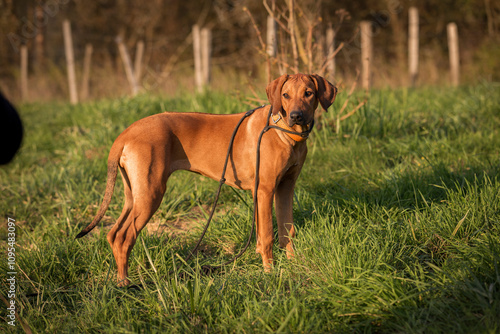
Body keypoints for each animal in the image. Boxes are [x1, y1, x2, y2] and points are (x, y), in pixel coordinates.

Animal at [76, 74, 338, 286]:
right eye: (285, 95)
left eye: (308, 93)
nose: (296, 116)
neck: (283, 131)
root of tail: (126, 133)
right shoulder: (265, 190)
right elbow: (267, 235)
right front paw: (269, 272)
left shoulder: (285, 187)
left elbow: (286, 230)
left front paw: (293, 264)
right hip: (151, 193)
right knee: (124, 236)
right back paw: (124, 283)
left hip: (135, 193)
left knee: (113, 233)